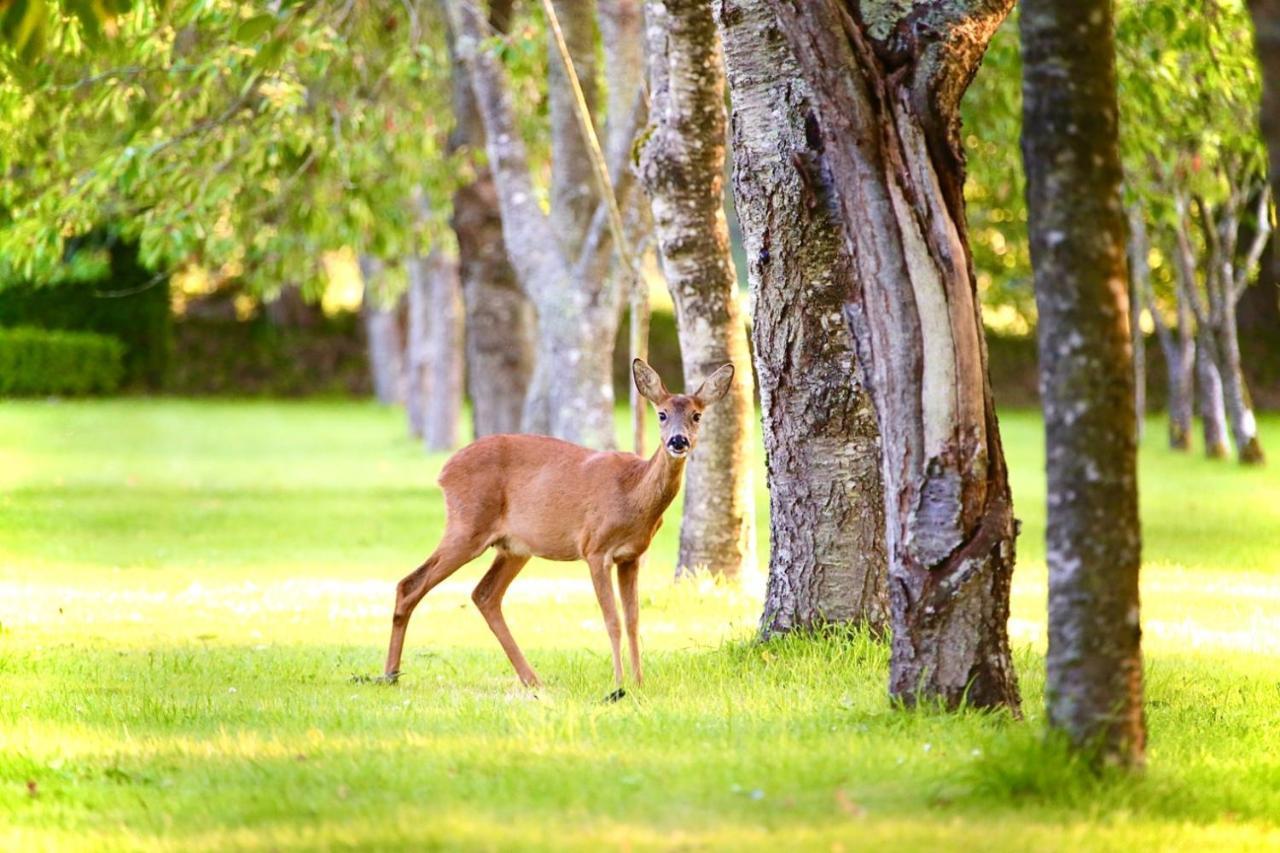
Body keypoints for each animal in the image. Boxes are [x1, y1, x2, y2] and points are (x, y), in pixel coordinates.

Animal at [378, 356, 737, 696]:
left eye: (697, 416)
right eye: (661, 414)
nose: (678, 441)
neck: (633, 494)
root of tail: (443, 471)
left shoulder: (631, 556)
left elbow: (634, 620)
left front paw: (639, 683)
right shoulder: (595, 549)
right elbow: (612, 620)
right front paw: (619, 684)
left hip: (514, 547)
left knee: (484, 594)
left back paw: (531, 679)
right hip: (467, 526)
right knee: (410, 584)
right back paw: (391, 674)